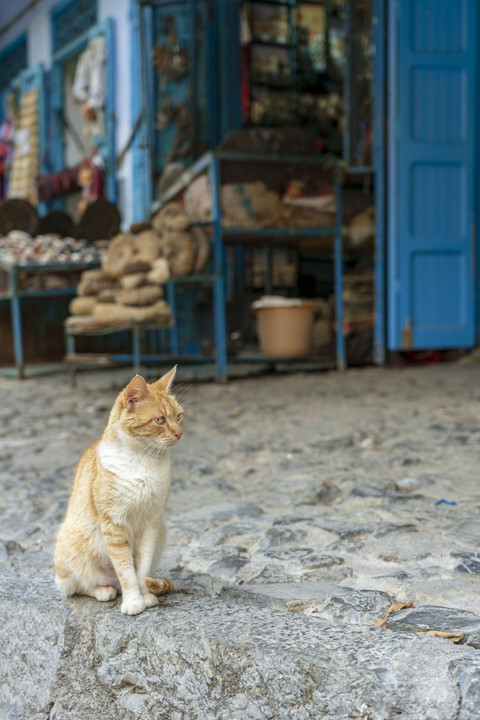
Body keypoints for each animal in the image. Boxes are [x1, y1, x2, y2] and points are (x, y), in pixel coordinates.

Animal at [54, 368, 182, 616]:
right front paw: (133, 601)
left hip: (162, 531)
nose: (179, 433)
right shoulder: (113, 524)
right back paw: (103, 591)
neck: (144, 461)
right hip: (69, 547)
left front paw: (144, 595)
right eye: (160, 420)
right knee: (79, 587)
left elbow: (141, 569)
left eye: (179, 416)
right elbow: (126, 571)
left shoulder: (152, 524)